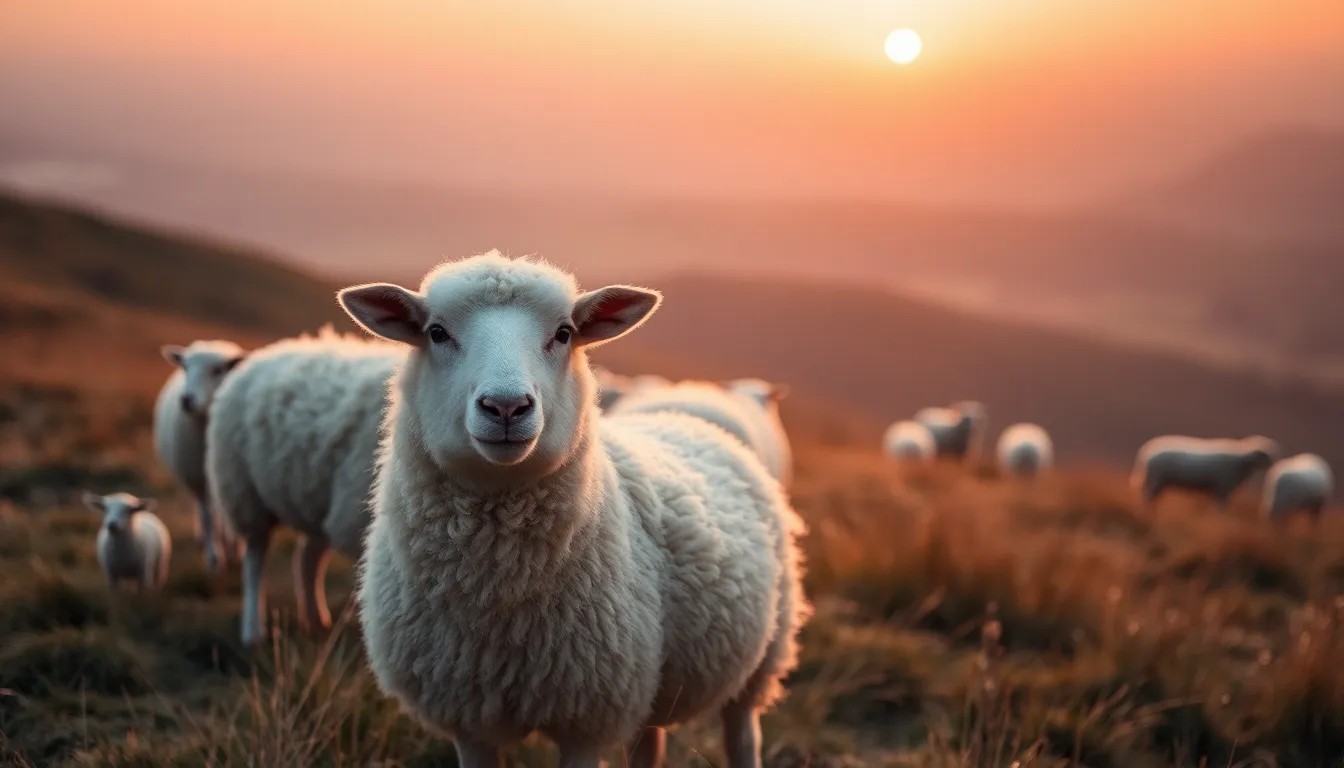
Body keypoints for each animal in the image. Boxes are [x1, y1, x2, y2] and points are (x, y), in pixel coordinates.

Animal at [154, 339, 247, 573]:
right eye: (185, 367)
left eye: (217, 370)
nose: (186, 399)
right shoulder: (197, 478)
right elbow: (207, 516)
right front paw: (214, 557)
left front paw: (237, 547)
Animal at [205, 324, 401, 645]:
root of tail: (264, 354)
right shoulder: (356, 520)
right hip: (245, 495)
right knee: (254, 561)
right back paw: (253, 631)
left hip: (316, 502)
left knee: (306, 560)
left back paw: (315, 621)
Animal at [1131, 435, 1280, 510]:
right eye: (1265, 455)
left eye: (1273, 451)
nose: (1274, 465)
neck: (1241, 462)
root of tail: (1145, 452)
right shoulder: (1222, 488)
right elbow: (1221, 508)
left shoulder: (1218, 490)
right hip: (1155, 479)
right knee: (1147, 496)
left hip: (1159, 482)